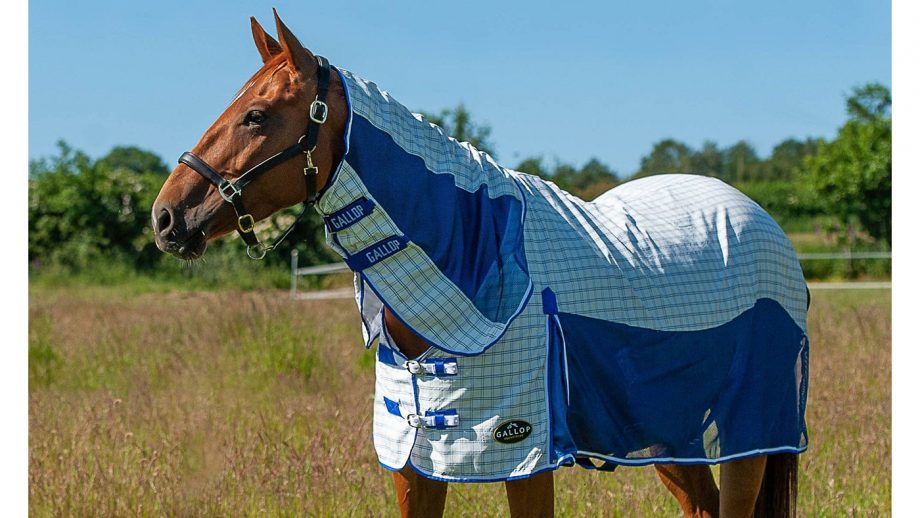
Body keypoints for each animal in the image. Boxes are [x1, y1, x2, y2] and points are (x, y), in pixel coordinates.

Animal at [152, 11, 808, 517]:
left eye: (256, 116)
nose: (165, 217)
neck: (475, 259)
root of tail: (756, 217)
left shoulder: (524, 454)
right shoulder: (411, 460)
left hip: (750, 430)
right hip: (669, 436)